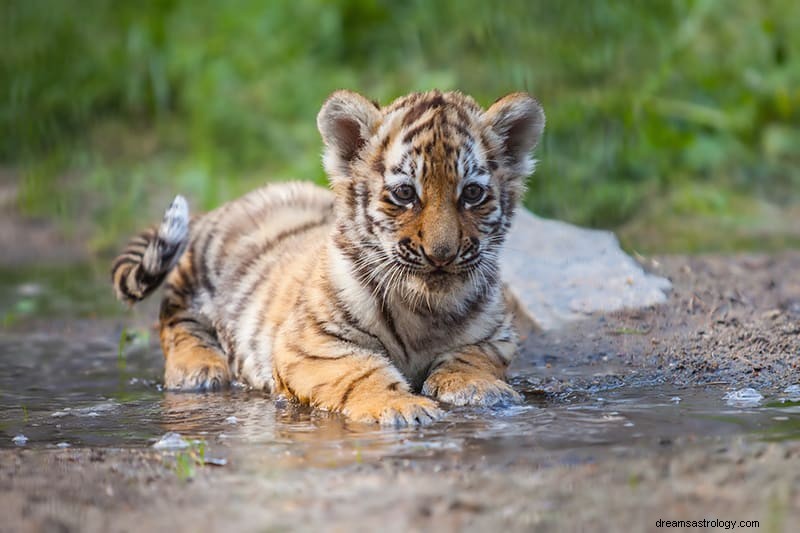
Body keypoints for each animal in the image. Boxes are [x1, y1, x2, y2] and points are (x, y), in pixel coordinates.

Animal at [111, 89, 544, 426]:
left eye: (472, 193)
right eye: (405, 193)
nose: (441, 255)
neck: (426, 307)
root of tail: (231, 203)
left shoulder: (496, 335)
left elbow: (471, 356)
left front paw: (482, 390)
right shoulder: (312, 344)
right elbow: (360, 372)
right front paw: (402, 407)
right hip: (195, 277)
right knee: (175, 319)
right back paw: (198, 369)